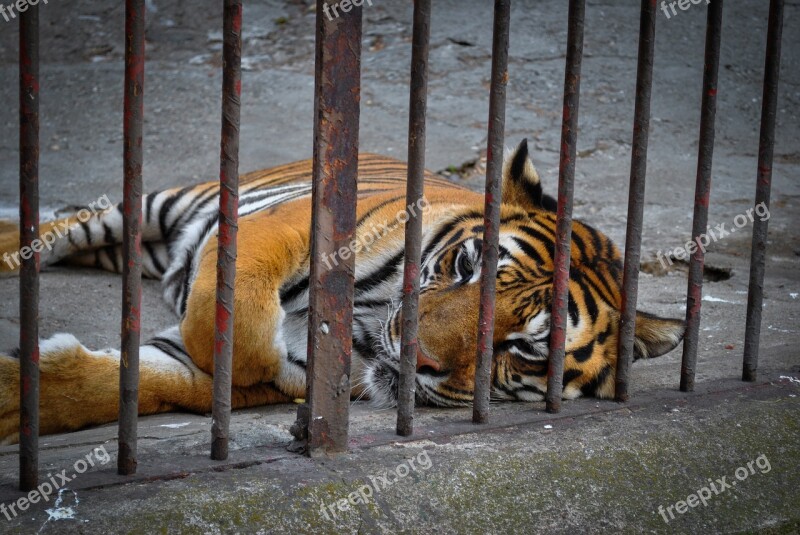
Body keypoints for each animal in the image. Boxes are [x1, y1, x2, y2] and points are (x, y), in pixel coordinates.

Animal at [0, 139, 688, 444]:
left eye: (524, 347)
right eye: (466, 264)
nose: (419, 358)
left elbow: (140, 380)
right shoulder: (289, 226)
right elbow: (232, 323)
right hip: (151, 208)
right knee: (61, 226)